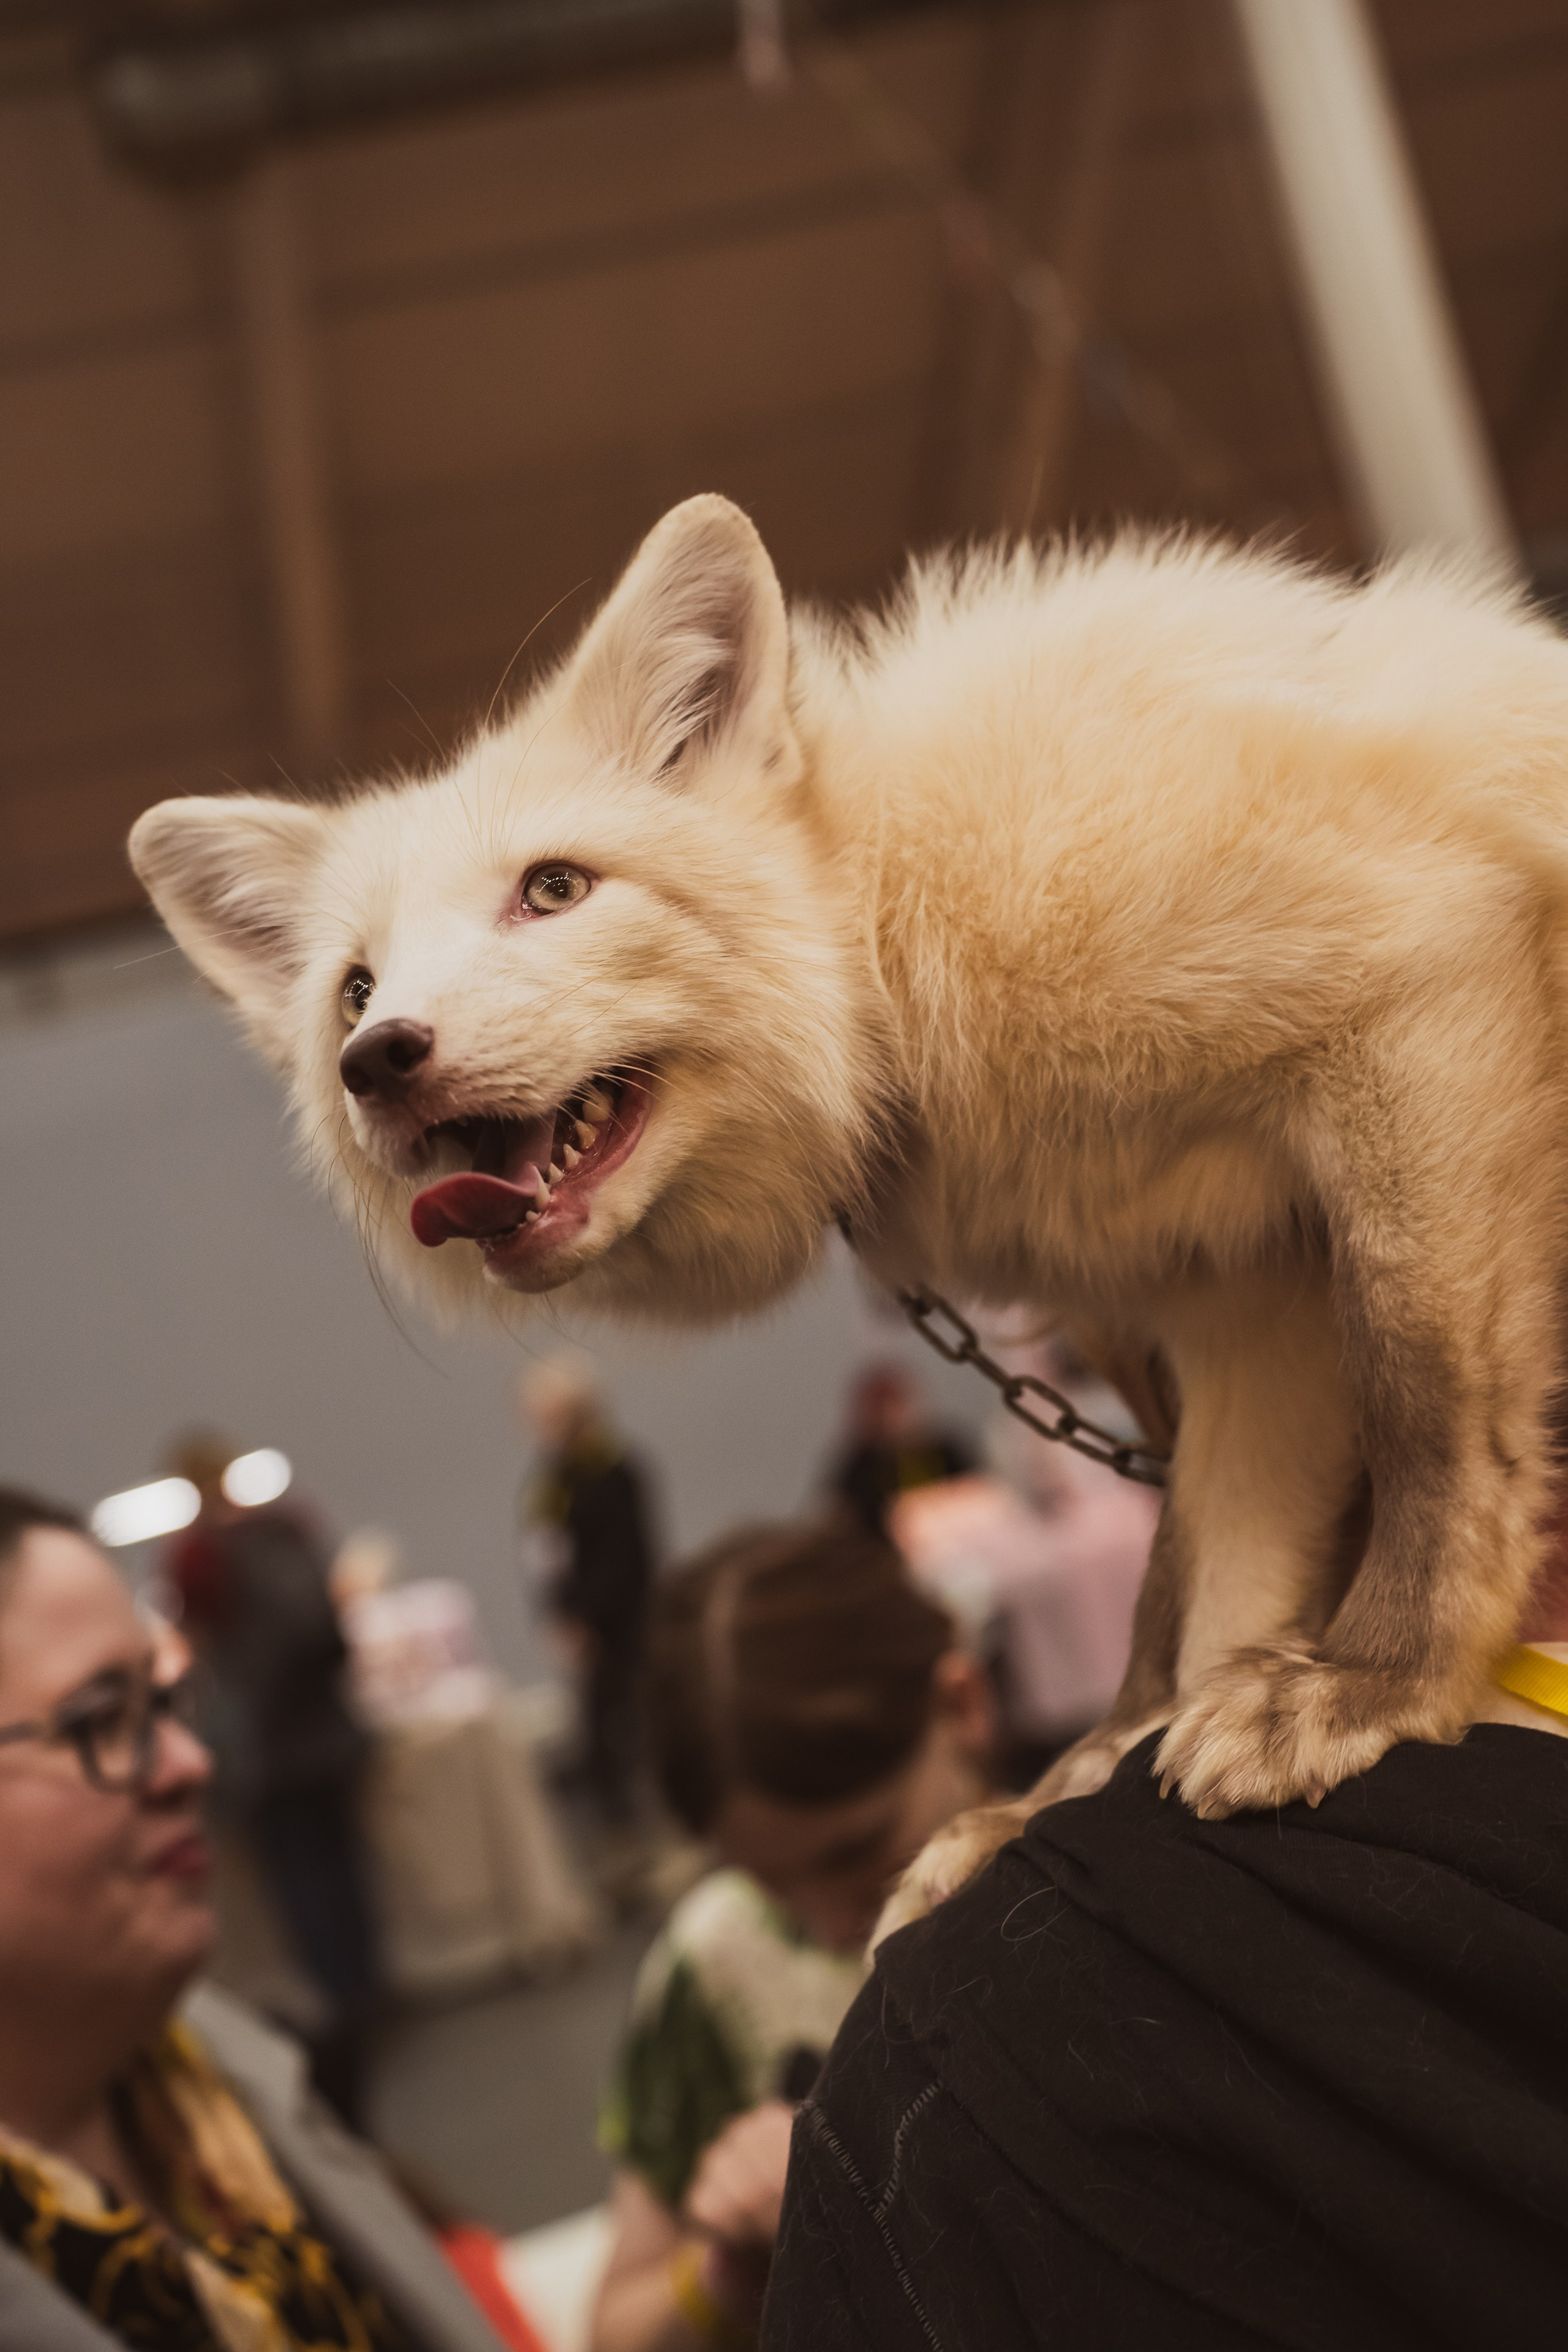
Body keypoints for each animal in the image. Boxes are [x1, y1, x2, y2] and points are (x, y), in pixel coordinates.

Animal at [130, 494, 1568, 1921]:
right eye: (355, 990)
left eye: (554, 888)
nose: (380, 1061)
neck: (892, 934)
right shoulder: (1235, 1293)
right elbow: (1184, 1600)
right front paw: (1062, 1793)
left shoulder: (1413, 996)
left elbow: (1424, 1410)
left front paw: (1376, 1685)